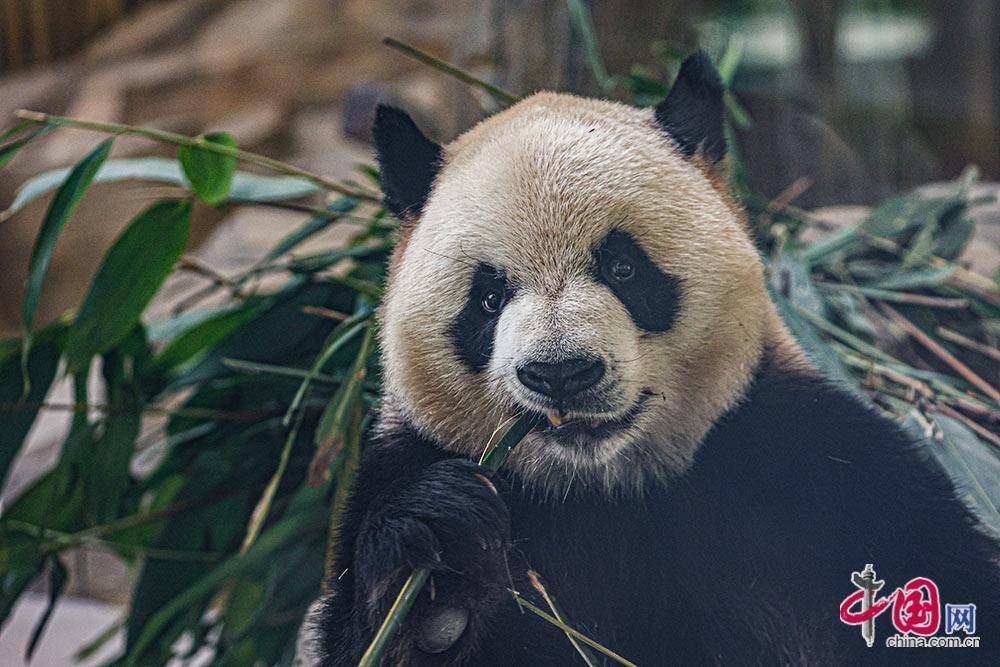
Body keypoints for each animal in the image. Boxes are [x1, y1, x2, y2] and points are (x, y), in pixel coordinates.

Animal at [314, 53, 1000, 667]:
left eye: (622, 267)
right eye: (488, 298)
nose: (561, 372)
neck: (605, 489)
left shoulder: (815, 467)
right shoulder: (405, 464)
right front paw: (435, 575)